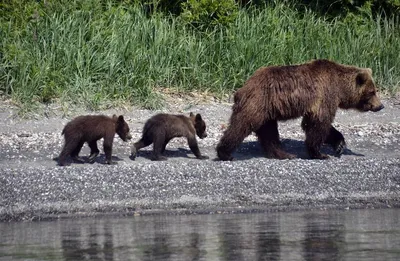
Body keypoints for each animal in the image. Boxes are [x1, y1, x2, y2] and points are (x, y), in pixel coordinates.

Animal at [216, 59, 384, 159]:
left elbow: (317, 124)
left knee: (269, 132)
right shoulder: (325, 95)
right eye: (372, 92)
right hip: (258, 102)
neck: (340, 88)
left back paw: (283, 153)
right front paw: (320, 153)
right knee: (242, 124)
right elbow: (319, 124)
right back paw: (224, 152)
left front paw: (340, 145)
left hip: (267, 111)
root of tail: (245, 85)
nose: (380, 106)